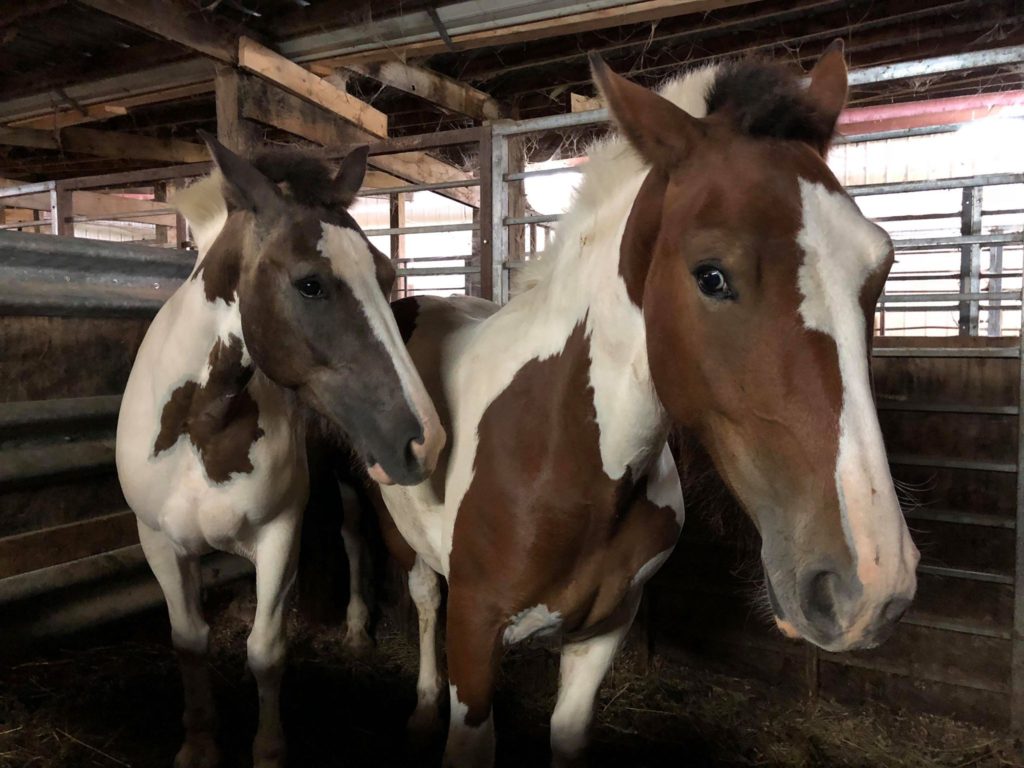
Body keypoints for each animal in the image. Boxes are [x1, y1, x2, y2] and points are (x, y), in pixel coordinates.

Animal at [115, 134, 444, 768]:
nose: (425, 438)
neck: (204, 426)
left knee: (382, 560)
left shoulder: (278, 536)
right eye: (310, 283)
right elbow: (189, 640)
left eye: (385, 272)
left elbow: (266, 648)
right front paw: (198, 742)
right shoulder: (159, 542)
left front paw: (267, 750)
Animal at [371, 42, 919, 767]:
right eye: (711, 275)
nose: (872, 584)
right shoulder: (473, 629)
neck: (561, 450)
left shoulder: (605, 630)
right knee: (423, 598)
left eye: (880, 269)